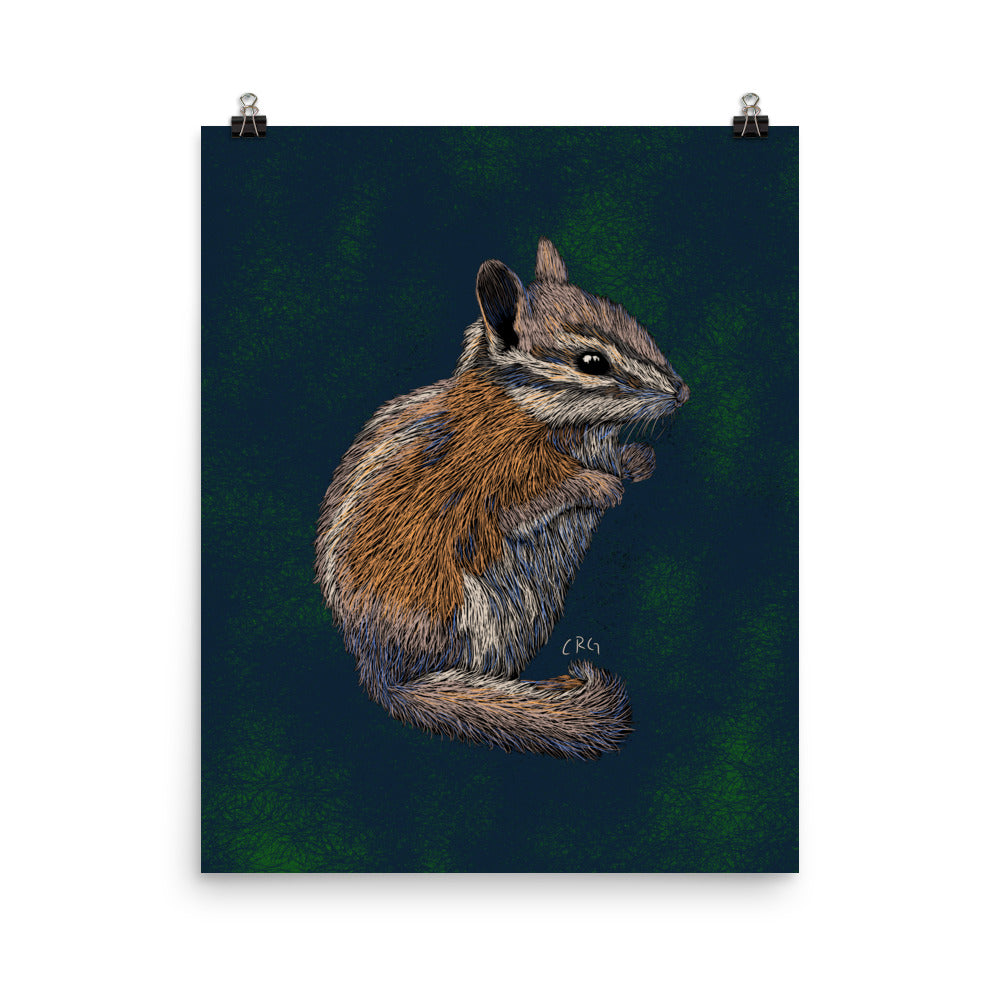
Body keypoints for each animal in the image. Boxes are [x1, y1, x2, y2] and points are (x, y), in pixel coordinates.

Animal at [314, 238, 689, 760]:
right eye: (592, 362)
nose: (683, 391)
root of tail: (384, 673)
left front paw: (637, 461)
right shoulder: (495, 487)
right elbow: (530, 505)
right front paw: (600, 485)